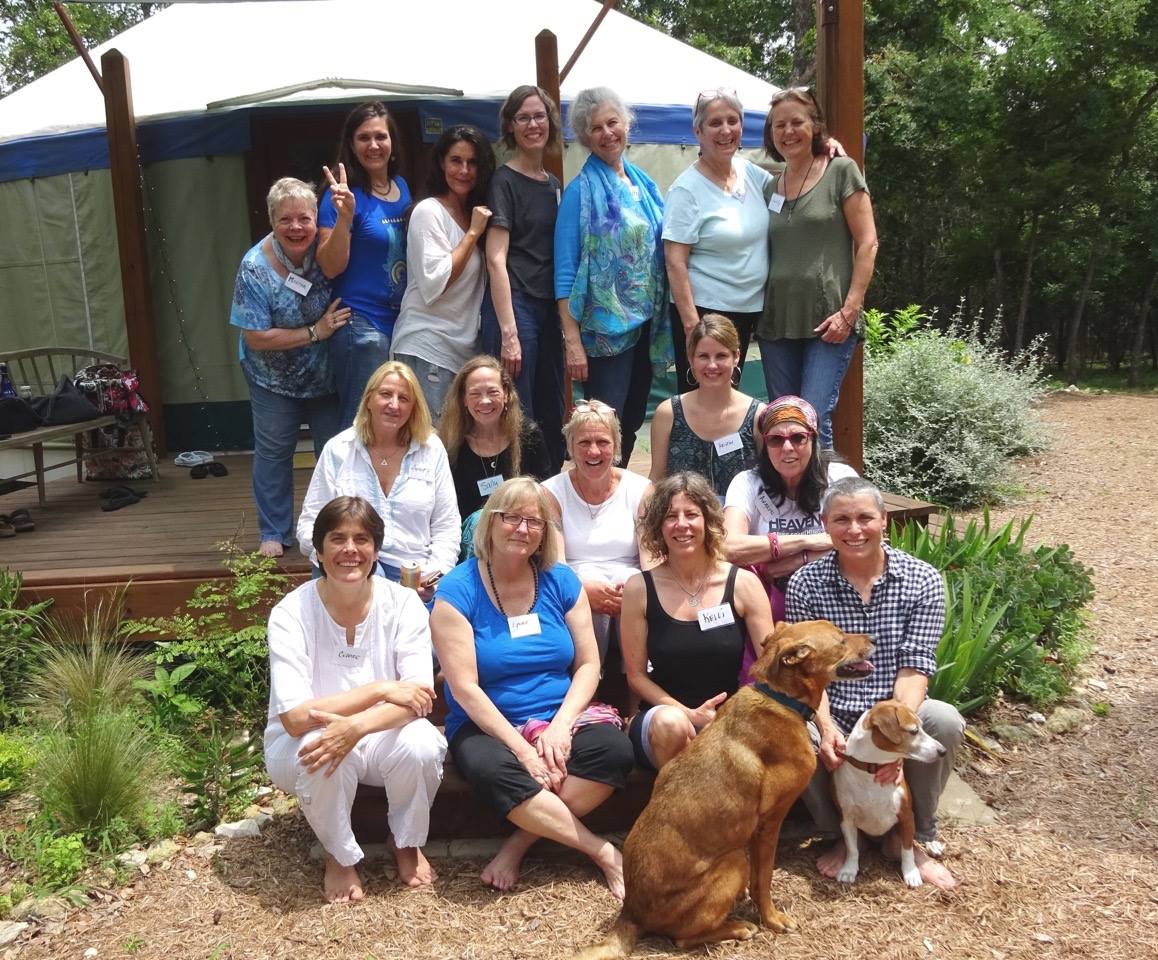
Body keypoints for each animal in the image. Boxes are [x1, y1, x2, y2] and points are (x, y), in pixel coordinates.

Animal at [574, 616, 870, 954]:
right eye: (841, 639)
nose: (873, 639)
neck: (780, 697)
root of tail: (630, 912)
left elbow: (758, 880)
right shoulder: (769, 824)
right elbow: (763, 880)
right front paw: (772, 919)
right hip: (733, 861)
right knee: (682, 938)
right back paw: (738, 927)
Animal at [838, 694, 944, 884]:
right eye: (914, 731)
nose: (943, 751)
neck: (871, 772)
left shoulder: (906, 817)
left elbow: (907, 849)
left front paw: (911, 872)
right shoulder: (846, 818)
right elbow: (852, 849)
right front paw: (849, 869)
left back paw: (932, 844)